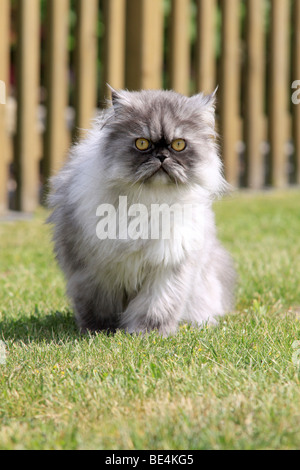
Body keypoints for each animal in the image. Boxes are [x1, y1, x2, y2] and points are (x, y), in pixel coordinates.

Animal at [48, 88, 236, 336]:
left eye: (178, 145)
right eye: (142, 143)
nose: (162, 157)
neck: (150, 202)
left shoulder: (167, 268)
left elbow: (156, 307)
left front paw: (148, 333)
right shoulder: (94, 272)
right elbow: (97, 307)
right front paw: (99, 331)